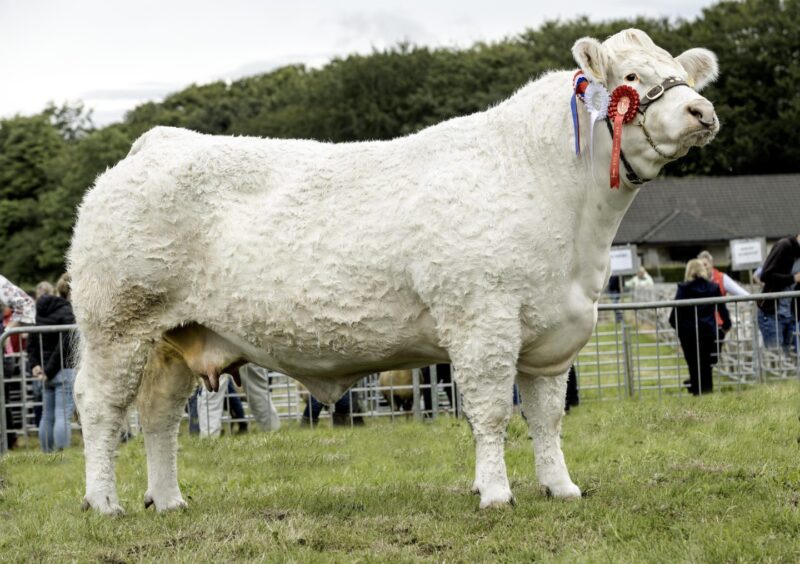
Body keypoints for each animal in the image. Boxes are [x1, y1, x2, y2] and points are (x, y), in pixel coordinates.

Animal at [69, 30, 720, 516]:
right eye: (630, 77)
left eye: (680, 73)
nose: (702, 110)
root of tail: (156, 143)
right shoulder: (481, 321)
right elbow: (490, 411)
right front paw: (496, 493)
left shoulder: (552, 333)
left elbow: (547, 415)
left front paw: (561, 488)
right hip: (117, 324)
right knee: (100, 407)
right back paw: (104, 503)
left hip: (176, 336)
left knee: (158, 416)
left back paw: (169, 499)